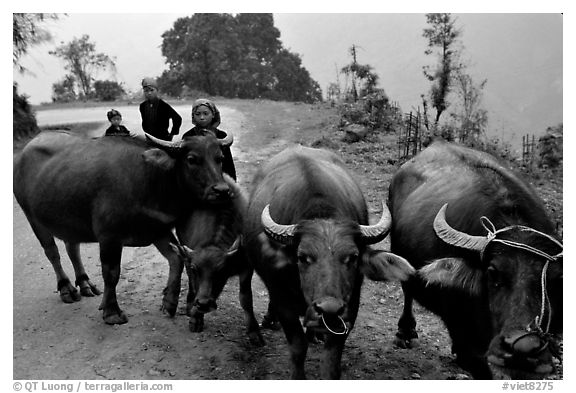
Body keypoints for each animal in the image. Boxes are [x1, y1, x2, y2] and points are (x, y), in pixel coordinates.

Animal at [11, 130, 232, 324]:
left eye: (219, 158)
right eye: (192, 159)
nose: (222, 190)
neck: (150, 181)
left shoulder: (158, 230)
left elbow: (177, 259)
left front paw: (169, 302)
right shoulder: (109, 237)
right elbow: (111, 273)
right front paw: (111, 312)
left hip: (69, 220)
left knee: (72, 248)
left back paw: (85, 284)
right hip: (33, 217)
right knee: (52, 252)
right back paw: (66, 288)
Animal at [168, 175, 264, 344]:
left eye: (221, 270)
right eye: (195, 269)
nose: (204, 304)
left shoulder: (247, 267)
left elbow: (246, 298)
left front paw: (254, 331)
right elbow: (195, 285)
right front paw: (195, 318)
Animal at [243, 145, 414, 376]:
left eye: (353, 257)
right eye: (302, 257)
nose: (329, 309)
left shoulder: (349, 307)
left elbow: (331, 359)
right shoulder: (283, 301)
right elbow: (297, 347)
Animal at [388, 140, 564, 376]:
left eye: (554, 280)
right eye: (492, 272)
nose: (523, 347)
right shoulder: (464, 339)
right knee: (408, 290)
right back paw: (405, 333)